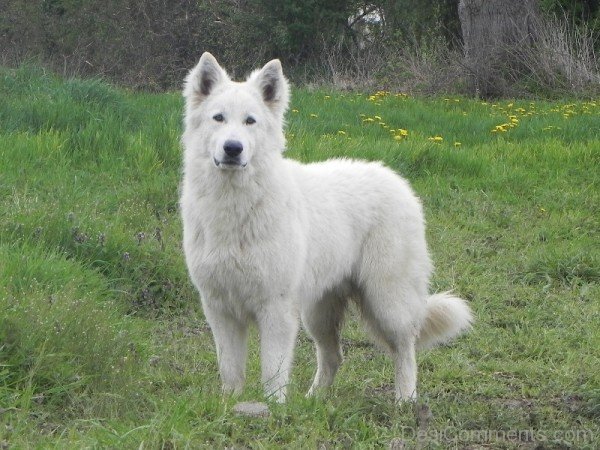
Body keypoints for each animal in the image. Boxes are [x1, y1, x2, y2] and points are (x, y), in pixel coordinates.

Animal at [179, 53, 474, 404]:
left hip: (387, 301)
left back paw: (405, 399)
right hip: (318, 313)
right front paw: (230, 405)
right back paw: (313, 400)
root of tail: (396, 179)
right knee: (334, 356)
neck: (235, 205)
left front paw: (273, 409)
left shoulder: (276, 309)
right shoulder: (220, 309)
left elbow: (272, 372)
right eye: (218, 118)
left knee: (405, 348)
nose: (233, 148)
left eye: (250, 121)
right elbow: (230, 370)